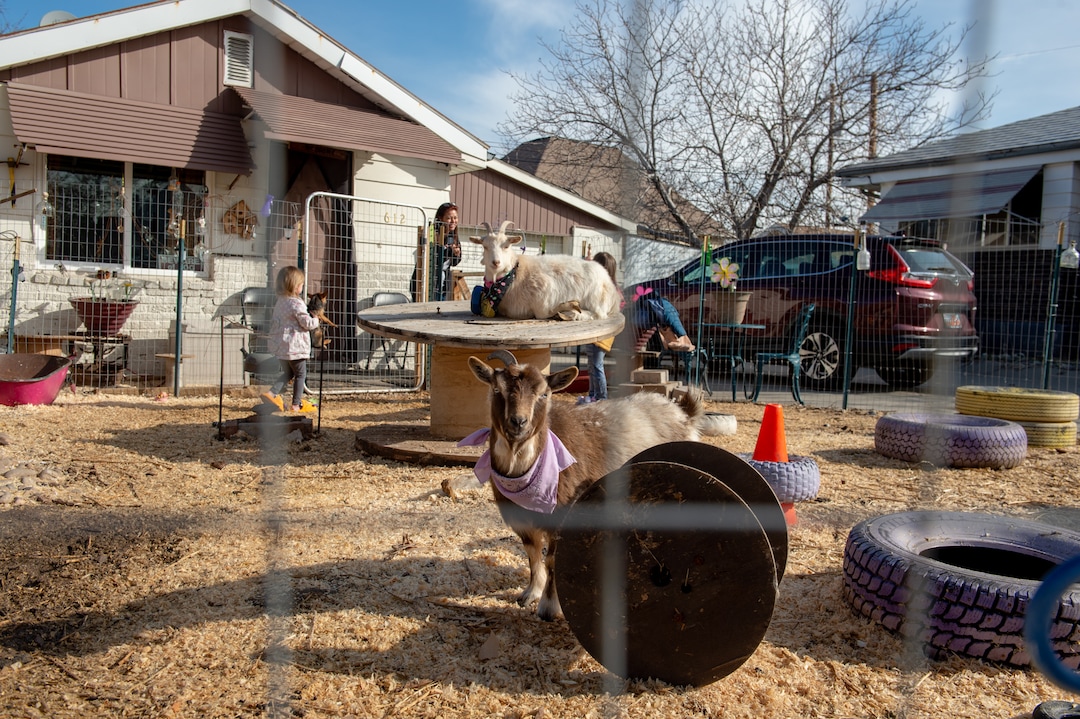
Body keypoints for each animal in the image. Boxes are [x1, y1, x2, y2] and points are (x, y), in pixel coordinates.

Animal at [461, 350, 703, 621]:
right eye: (497, 389)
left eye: (544, 394)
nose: (518, 422)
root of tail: (684, 414)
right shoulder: (522, 520)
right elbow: (533, 554)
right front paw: (530, 594)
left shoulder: (564, 515)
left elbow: (552, 560)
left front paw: (549, 607)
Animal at [469, 221, 621, 321]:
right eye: (485, 246)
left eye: (506, 246)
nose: (496, 262)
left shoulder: (544, 295)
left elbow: (544, 313)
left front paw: (566, 309)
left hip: (596, 299)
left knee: (598, 314)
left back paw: (572, 314)